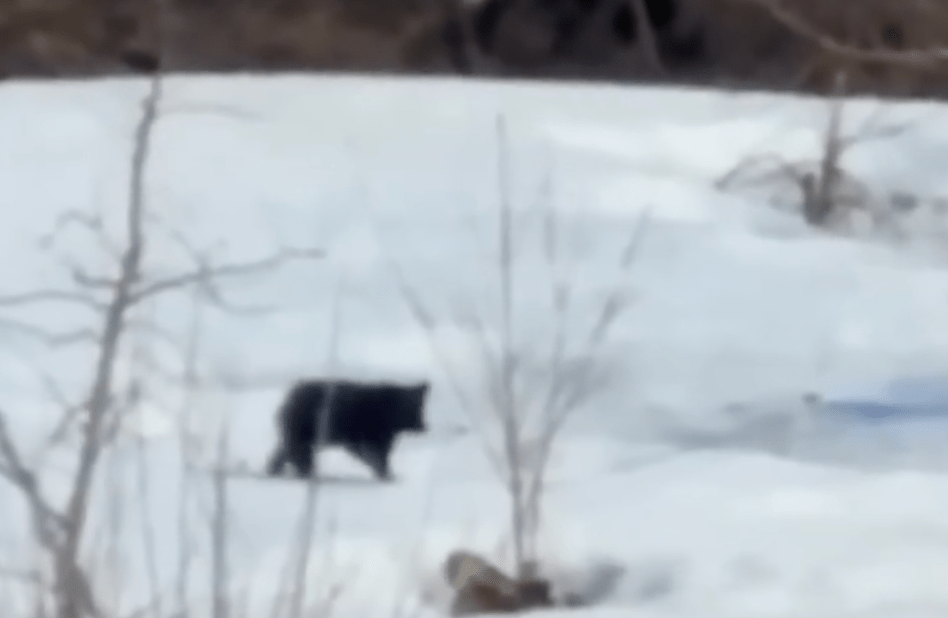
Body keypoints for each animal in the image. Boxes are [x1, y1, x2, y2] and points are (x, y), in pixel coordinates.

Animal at [266, 378, 429, 481]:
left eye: (421, 406)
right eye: (410, 408)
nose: (424, 427)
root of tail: (289, 398)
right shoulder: (369, 433)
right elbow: (377, 455)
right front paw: (387, 475)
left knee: (285, 450)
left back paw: (275, 470)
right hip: (305, 427)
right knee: (297, 452)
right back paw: (304, 472)